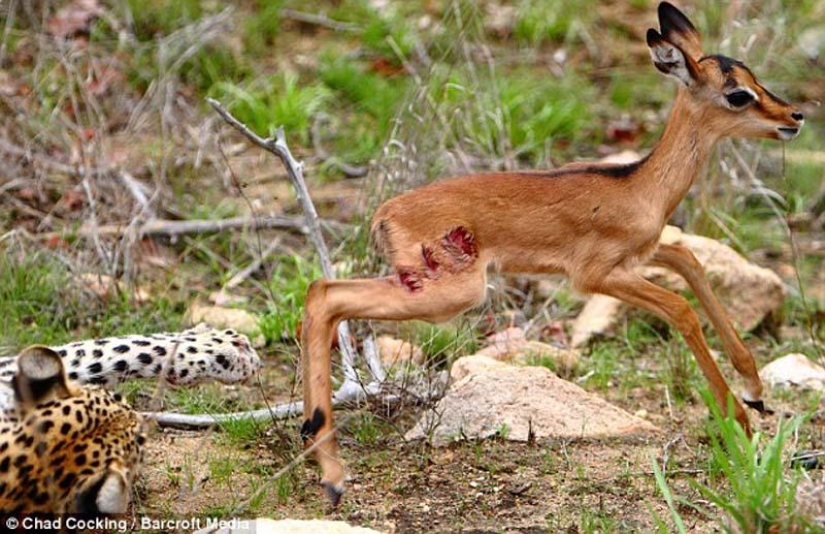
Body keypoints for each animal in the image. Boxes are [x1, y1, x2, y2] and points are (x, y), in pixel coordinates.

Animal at [300, 2, 805, 504]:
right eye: (737, 94)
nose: (795, 115)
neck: (639, 186)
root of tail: (383, 214)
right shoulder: (595, 276)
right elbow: (680, 308)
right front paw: (741, 421)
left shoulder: (644, 254)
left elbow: (690, 260)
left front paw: (755, 389)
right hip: (450, 293)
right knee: (327, 296)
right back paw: (331, 473)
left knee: (320, 292)